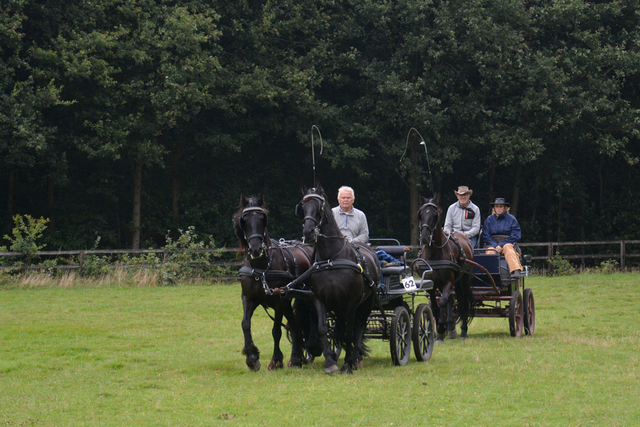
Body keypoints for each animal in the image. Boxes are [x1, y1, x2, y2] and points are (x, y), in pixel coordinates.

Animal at [235, 195, 316, 372]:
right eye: (244, 220)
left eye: (262, 218)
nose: (256, 248)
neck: (262, 268)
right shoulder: (248, 299)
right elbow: (245, 324)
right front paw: (252, 358)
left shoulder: (278, 301)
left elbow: (276, 331)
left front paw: (276, 360)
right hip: (288, 301)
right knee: (295, 325)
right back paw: (296, 359)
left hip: (305, 298)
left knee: (313, 318)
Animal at [296, 184, 380, 374]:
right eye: (303, 207)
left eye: (319, 207)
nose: (308, 232)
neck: (331, 258)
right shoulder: (319, 299)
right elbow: (322, 328)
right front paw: (329, 362)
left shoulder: (350, 302)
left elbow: (349, 333)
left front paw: (347, 365)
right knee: (341, 328)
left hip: (367, 302)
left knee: (360, 325)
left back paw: (356, 357)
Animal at [416, 196, 476, 342]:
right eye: (420, 214)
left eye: (435, 215)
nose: (425, 238)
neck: (434, 254)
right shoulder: (431, 285)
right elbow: (435, 306)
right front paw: (439, 330)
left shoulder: (449, 282)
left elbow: (442, 302)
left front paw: (440, 328)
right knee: (450, 300)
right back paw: (450, 328)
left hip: (465, 279)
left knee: (464, 302)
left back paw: (462, 332)